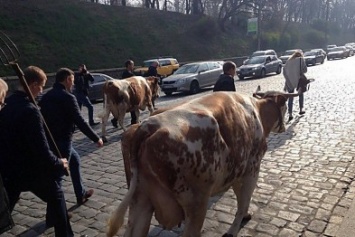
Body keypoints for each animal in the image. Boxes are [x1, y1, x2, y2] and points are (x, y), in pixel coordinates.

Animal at [108, 89, 298, 237]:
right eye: (285, 105)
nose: (283, 126)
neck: (257, 112)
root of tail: (148, 125)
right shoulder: (252, 168)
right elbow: (243, 200)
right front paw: (235, 226)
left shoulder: (237, 171)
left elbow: (240, 196)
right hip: (196, 203)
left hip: (140, 201)